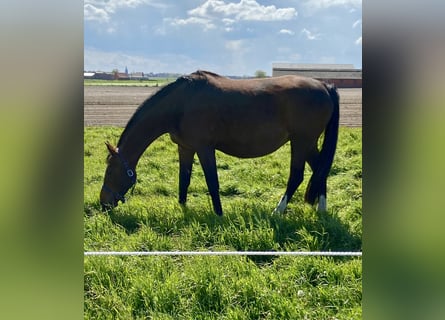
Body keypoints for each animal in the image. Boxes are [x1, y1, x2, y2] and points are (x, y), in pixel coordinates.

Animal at [99, 69, 336, 215]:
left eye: (110, 171)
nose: (103, 203)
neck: (181, 104)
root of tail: (324, 85)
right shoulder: (185, 148)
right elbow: (184, 180)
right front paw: (182, 207)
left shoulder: (205, 149)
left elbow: (212, 182)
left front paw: (219, 213)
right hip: (309, 143)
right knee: (320, 170)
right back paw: (322, 210)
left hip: (301, 142)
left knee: (297, 176)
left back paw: (278, 211)